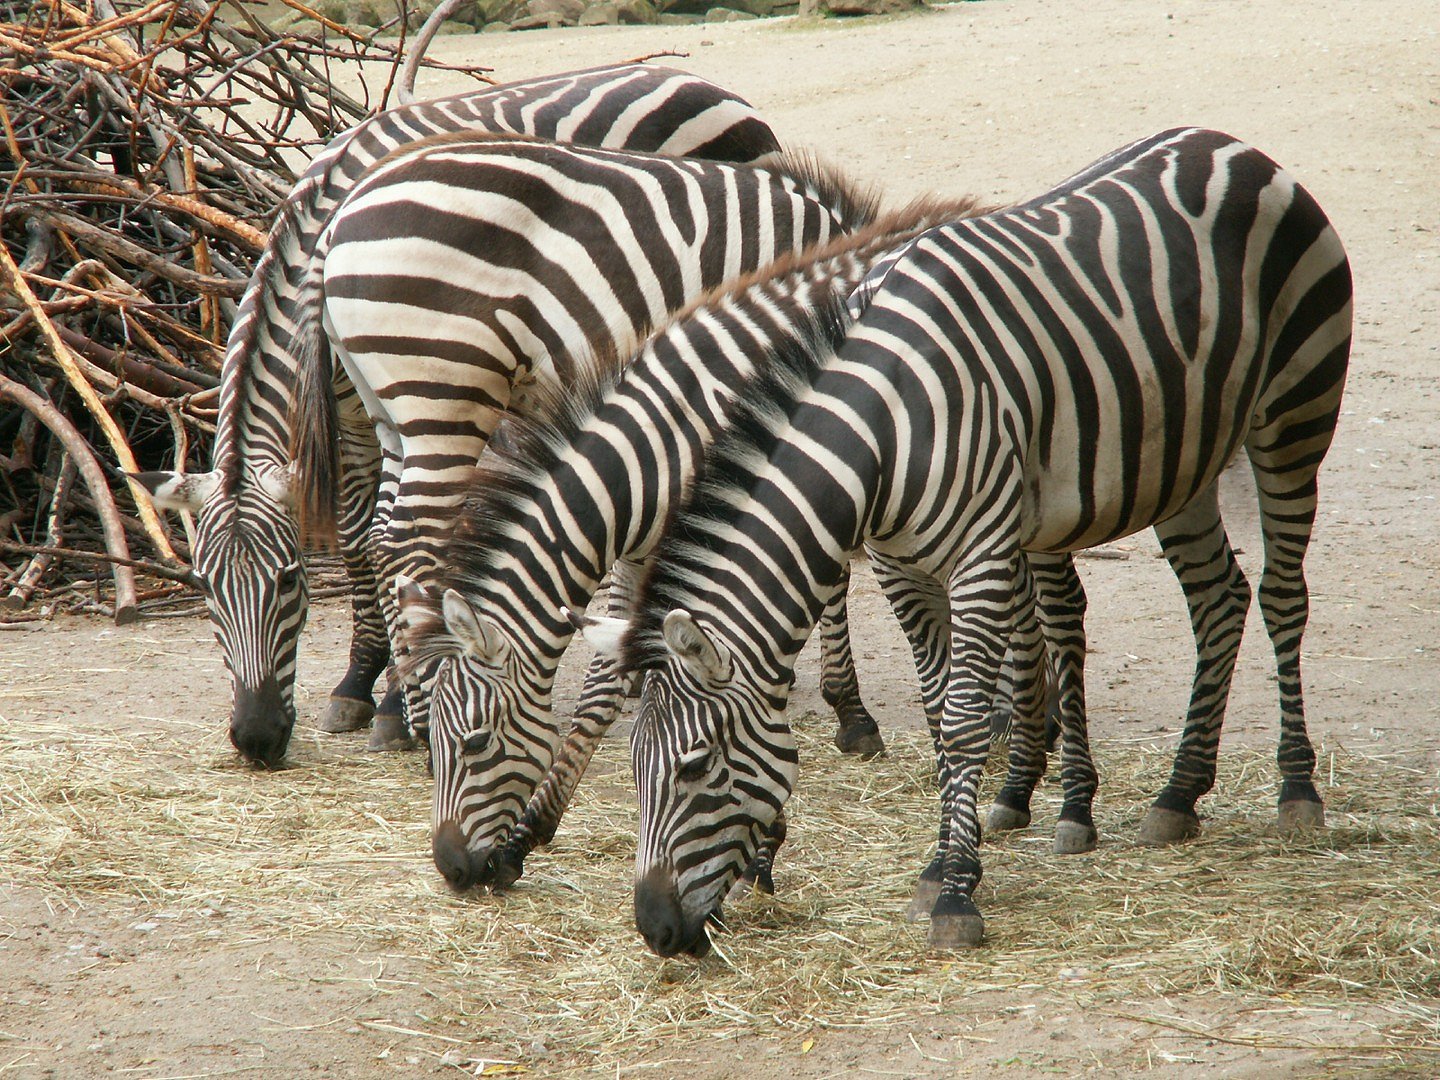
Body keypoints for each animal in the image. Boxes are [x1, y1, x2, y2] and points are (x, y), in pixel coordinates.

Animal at [129, 64, 785, 768]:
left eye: (288, 582)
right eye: (203, 588)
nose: (256, 739)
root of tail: (692, 76)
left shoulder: (377, 406)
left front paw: (389, 695)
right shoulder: (357, 414)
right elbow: (361, 540)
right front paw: (361, 683)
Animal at [389, 196, 986, 892]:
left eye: (475, 742)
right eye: (434, 742)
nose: (453, 869)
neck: (653, 453)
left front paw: (761, 841)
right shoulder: (641, 556)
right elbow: (613, 689)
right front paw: (527, 835)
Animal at [586, 128, 1352, 955]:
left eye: (697, 767)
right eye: (634, 767)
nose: (657, 929)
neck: (884, 426)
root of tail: (1228, 144)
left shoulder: (980, 555)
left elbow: (959, 721)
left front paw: (955, 892)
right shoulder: (899, 564)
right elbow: (936, 709)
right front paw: (944, 863)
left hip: (1295, 413)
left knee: (1282, 596)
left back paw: (1297, 789)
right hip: (1182, 460)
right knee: (1218, 599)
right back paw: (1179, 793)